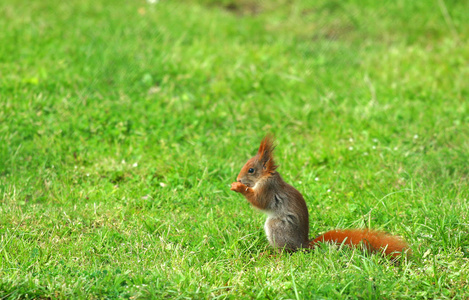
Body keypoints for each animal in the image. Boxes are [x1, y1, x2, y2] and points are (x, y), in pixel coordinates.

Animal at [230, 136, 410, 258]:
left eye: (251, 170)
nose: (238, 179)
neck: (266, 176)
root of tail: (303, 245)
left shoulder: (267, 188)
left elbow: (260, 201)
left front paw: (239, 187)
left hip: (276, 227)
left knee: (287, 252)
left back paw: (273, 254)